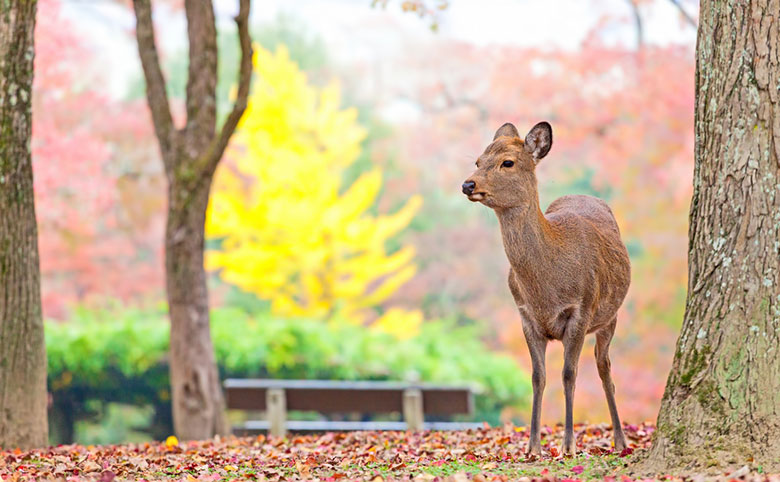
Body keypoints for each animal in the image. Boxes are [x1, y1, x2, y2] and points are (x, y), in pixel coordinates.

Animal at [460, 120, 632, 456]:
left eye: (507, 162)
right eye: (477, 160)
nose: (467, 185)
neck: (546, 289)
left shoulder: (581, 309)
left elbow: (569, 375)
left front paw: (569, 445)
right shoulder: (526, 316)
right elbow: (537, 377)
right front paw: (533, 446)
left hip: (610, 315)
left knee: (605, 367)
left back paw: (620, 440)